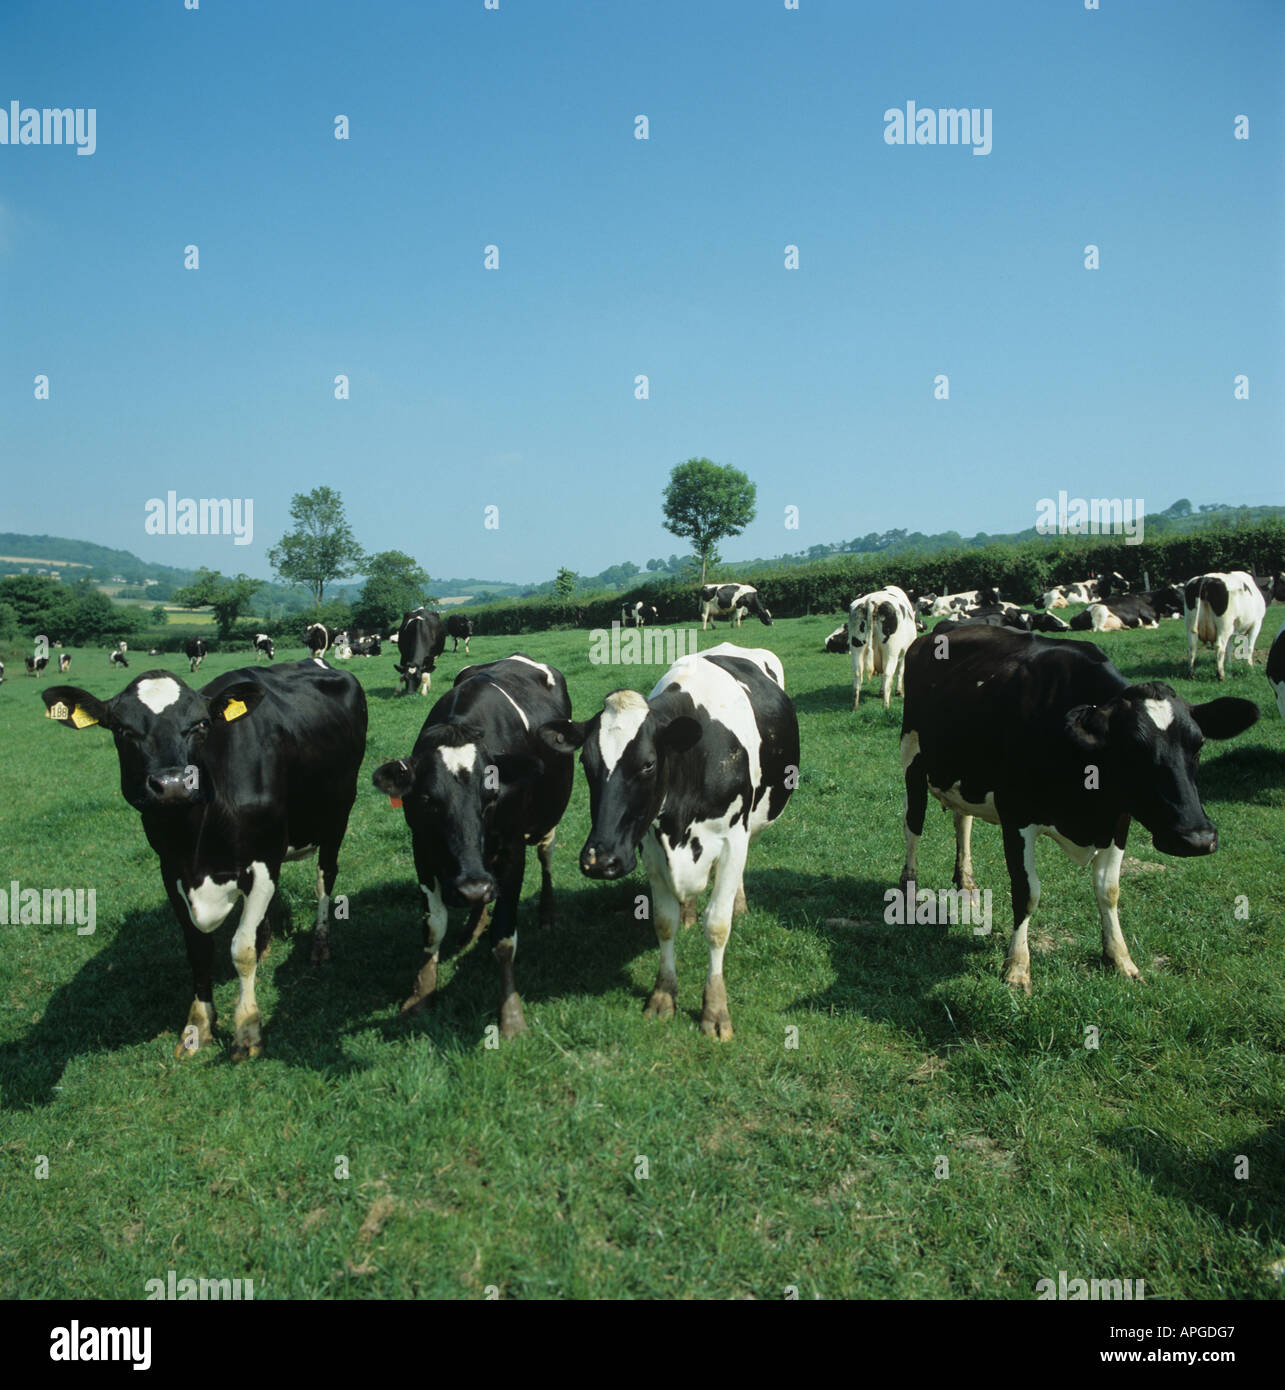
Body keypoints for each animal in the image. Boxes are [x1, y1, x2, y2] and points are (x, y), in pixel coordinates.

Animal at [41, 660, 368, 1058]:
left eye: (199, 725)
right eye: (121, 729)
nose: (172, 784)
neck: (195, 836)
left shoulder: (262, 862)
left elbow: (240, 949)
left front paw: (247, 1030)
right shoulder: (172, 871)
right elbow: (198, 951)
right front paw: (197, 1026)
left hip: (338, 815)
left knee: (325, 879)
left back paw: (320, 945)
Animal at [372, 654, 574, 1038]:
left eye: (492, 796)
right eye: (427, 800)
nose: (471, 887)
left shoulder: (512, 849)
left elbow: (505, 938)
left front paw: (511, 1016)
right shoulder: (421, 846)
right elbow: (433, 925)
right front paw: (419, 996)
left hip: (547, 819)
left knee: (546, 855)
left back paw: (548, 912)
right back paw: (472, 924)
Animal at [539, 643, 799, 1040]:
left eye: (648, 764)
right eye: (585, 763)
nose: (601, 860)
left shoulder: (732, 839)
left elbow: (717, 925)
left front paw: (715, 1011)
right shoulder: (649, 846)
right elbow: (663, 921)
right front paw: (663, 996)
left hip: (752, 822)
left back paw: (738, 903)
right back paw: (689, 910)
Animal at [898, 623, 1258, 992]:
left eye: (1198, 746)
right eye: (1132, 750)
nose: (1197, 838)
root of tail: (943, 628)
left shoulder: (1118, 819)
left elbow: (1109, 890)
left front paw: (1120, 958)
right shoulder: (1017, 816)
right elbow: (1027, 891)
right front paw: (1017, 967)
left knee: (963, 820)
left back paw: (966, 882)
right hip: (913, 759)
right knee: (913, 825)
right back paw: (909, 886)